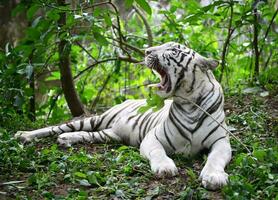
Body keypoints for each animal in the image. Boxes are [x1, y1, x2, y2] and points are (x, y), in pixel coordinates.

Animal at [15, 42, 232, 191]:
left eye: (172, 50)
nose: (146, 51)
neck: (189, 104)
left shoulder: (221, 142)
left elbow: (215, 158)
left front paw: (214, 177)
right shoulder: (152, 138)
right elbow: (158, 153)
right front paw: (165, 168)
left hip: (108, 134)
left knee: (87, 135)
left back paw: (65, 140)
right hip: (96, 119)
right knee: (57, 127)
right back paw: (24, 135)